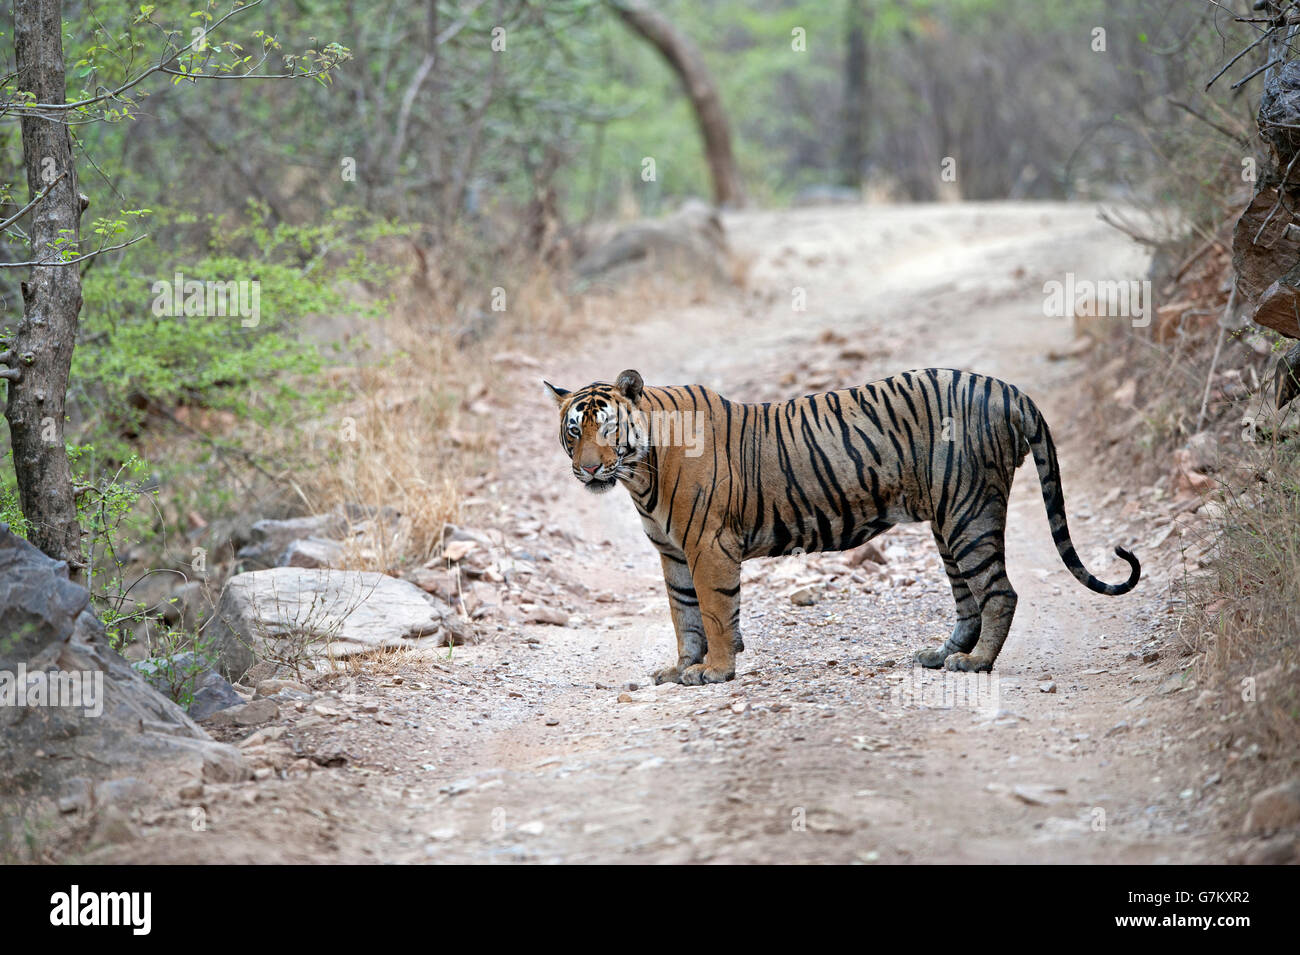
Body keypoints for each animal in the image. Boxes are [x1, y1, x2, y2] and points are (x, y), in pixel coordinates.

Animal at [540, 366, 1138, 686]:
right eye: (573, 431)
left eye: (607, 429)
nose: (587, 468)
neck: (640, 474)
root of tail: (1008, 388)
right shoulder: (673, 554)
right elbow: (683, 615)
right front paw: (681, 668)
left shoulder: (707, 546)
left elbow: (713, 612)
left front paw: (715, 669)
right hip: (949, 522)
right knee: (968, 597)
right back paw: (940, 655)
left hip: (970, 511)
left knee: (999, 592)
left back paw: (974, 664)